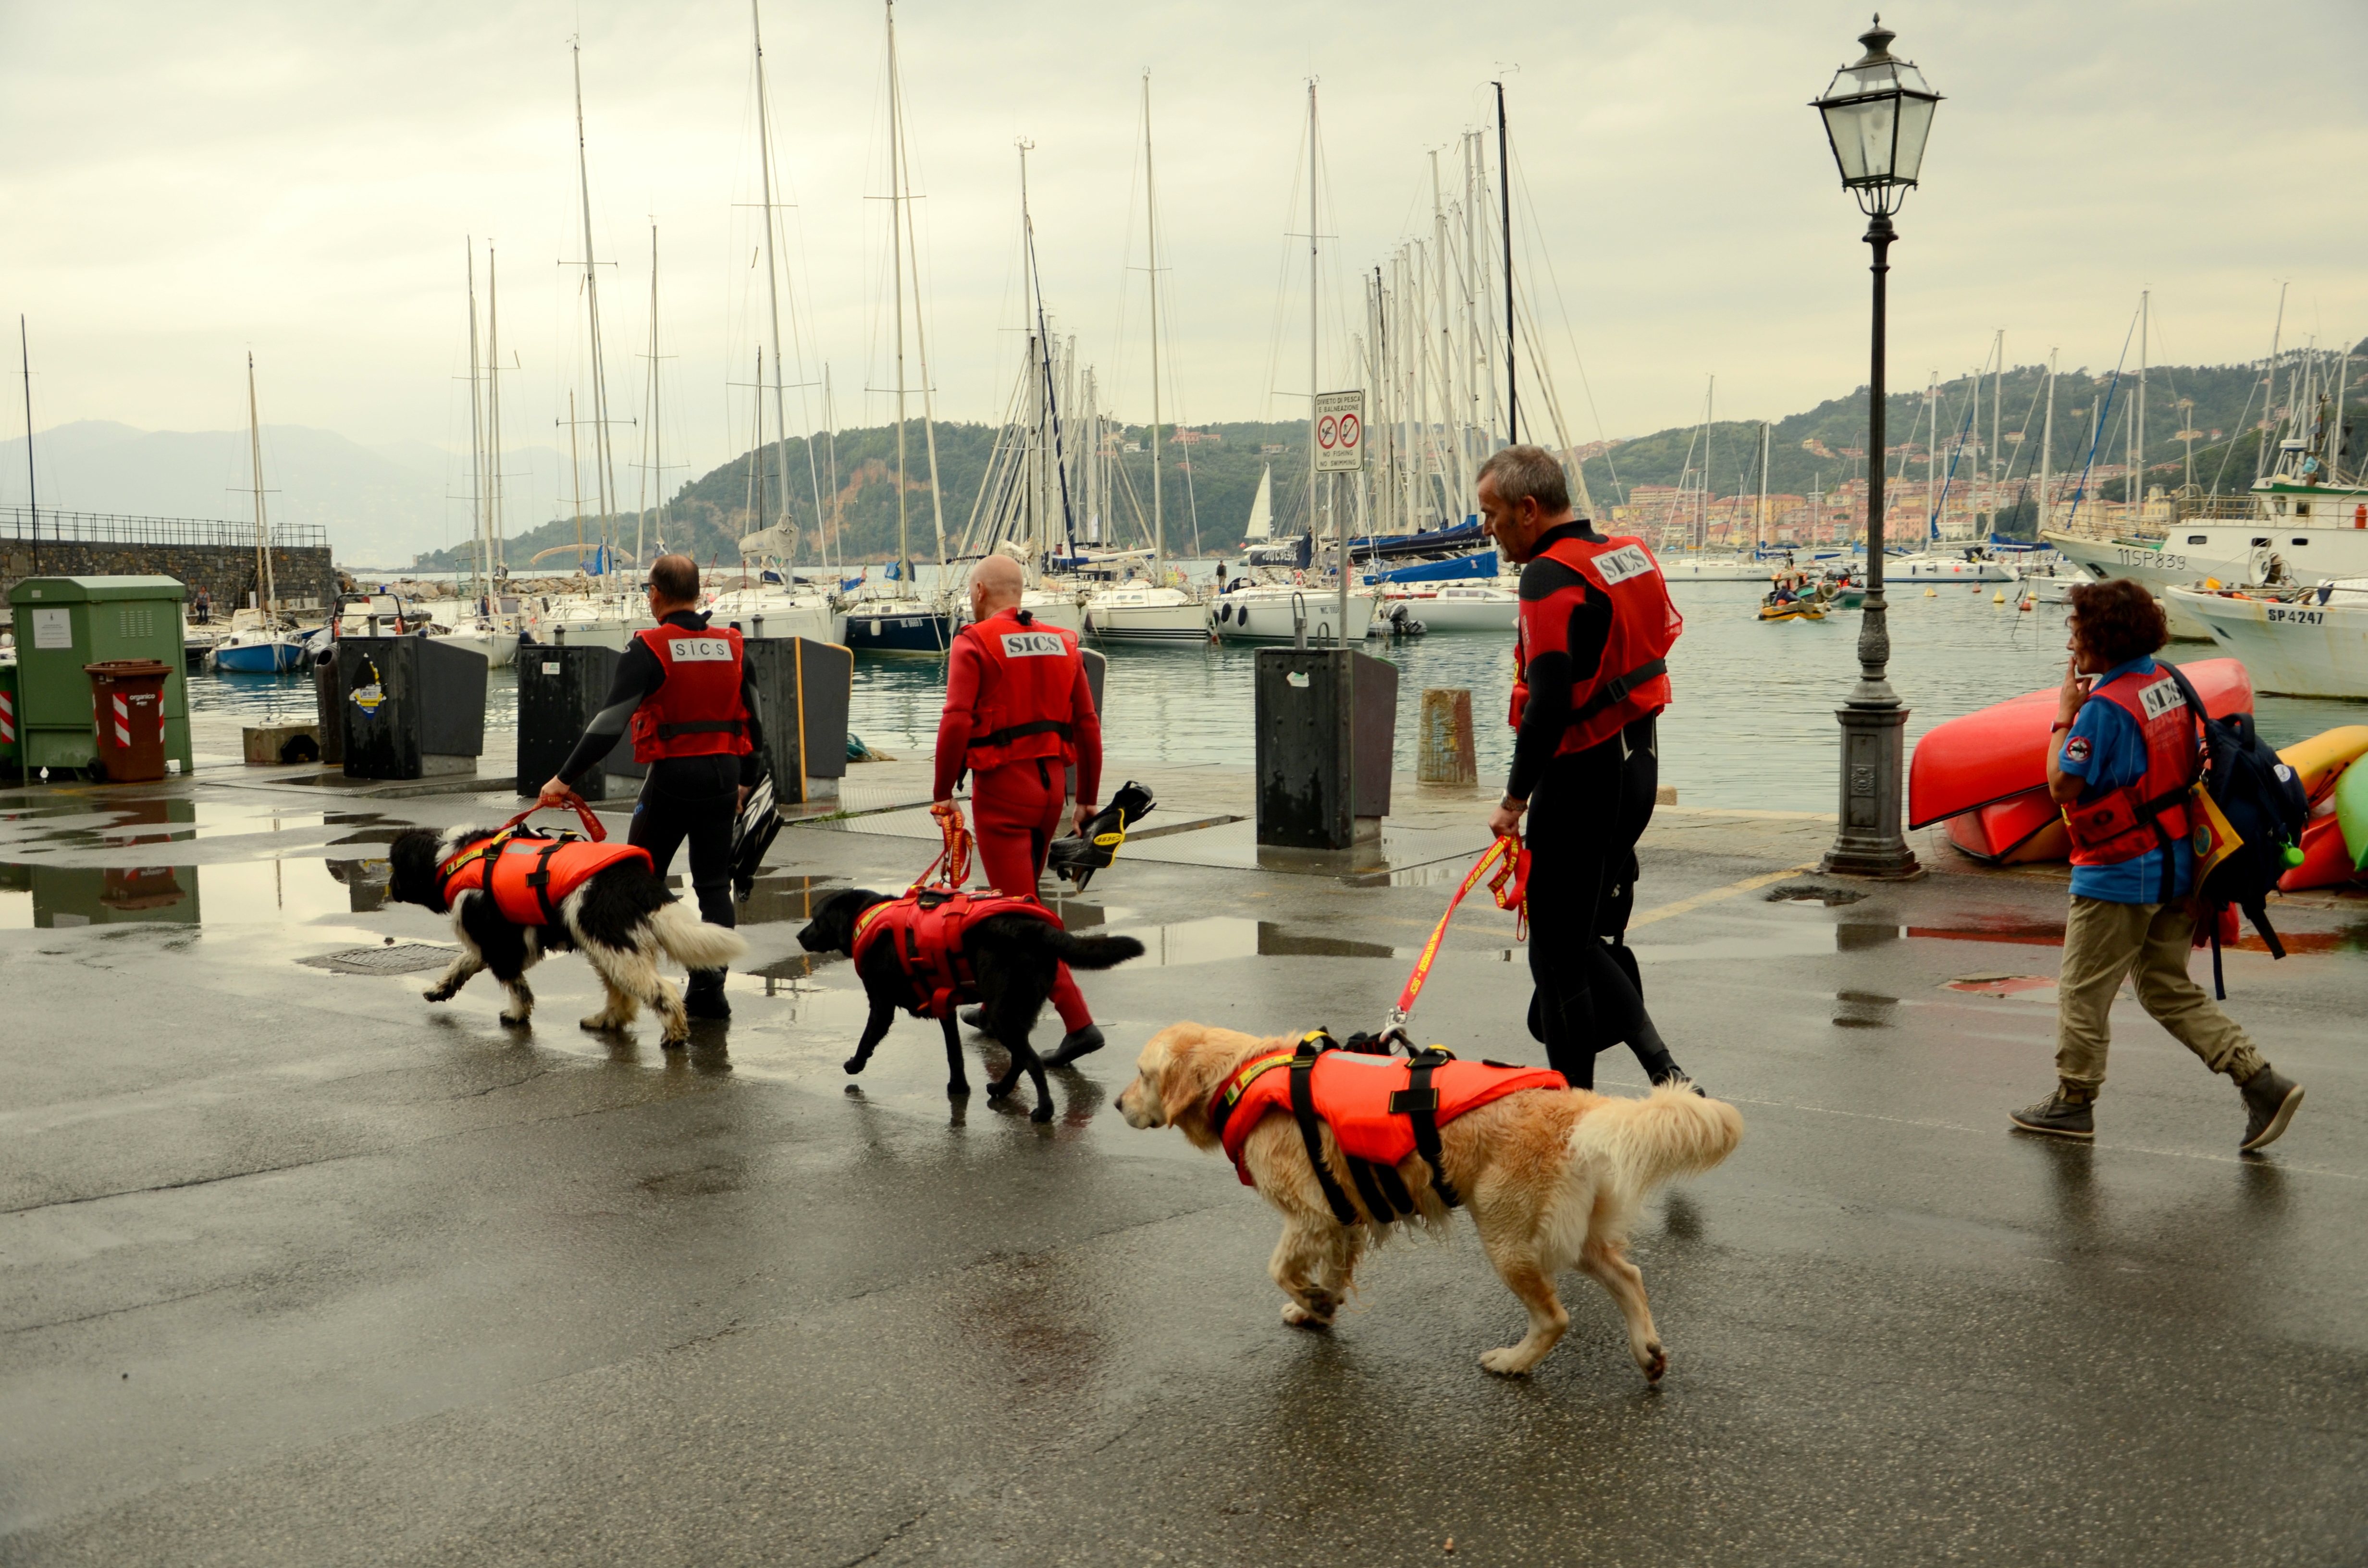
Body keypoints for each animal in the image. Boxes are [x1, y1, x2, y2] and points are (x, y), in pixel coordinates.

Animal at [386, 829, 748, 1052]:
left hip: (610, 941)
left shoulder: (502, 941)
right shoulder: (497, 939)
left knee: (661, 991)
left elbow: (513, 983)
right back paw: (605, 1020)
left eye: (394, 866)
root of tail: (634, 879)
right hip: (602, 945)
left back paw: (673, 1032)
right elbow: (464, 961)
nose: (389, 888)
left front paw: (516, 1015)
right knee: (623, 996)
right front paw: (440, 989)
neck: (450, 861)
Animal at [800, 890, 1151, 1123]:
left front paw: (854, 1064)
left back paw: (1043, 1111)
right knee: (1022, 1057)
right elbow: (954, 1054)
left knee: (1032, 1061)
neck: (865, 915)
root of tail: (1034, 928)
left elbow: (867, 1038)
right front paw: (958, 1088)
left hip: (1000, 1013)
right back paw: (1002, 1089)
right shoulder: (944, 1005)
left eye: (816, 918)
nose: (799, 936)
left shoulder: (881, 1004)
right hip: (1017, 1010)